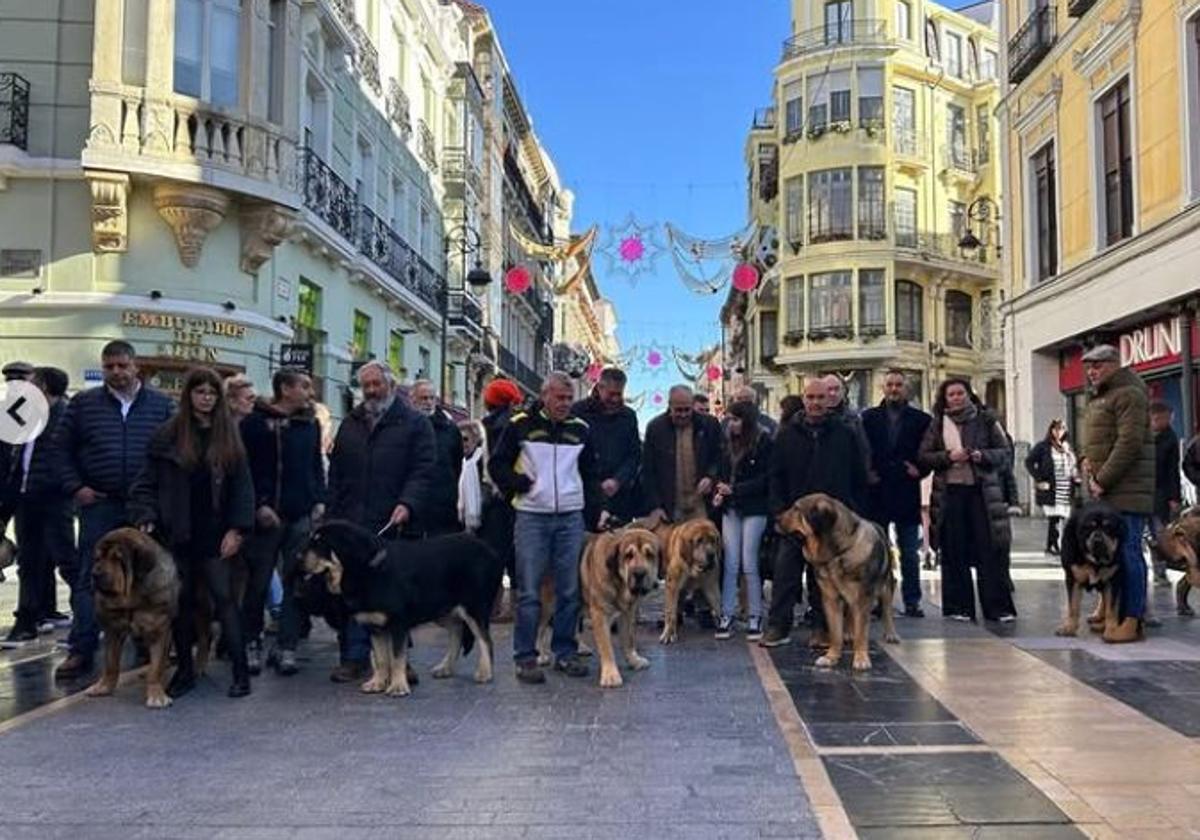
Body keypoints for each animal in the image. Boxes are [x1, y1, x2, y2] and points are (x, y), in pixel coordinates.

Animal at [84, 530, 178, 710]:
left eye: (118, 559)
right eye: (97, 558)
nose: (95, 574)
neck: (131, 599)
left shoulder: (159, 631)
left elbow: (156, 667)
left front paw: (156, 695)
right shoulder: (113, 630)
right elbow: (111, 662)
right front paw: (104, 686)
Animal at [304, 520, 506, 700]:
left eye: (320, 542)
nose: (298, 557)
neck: (368, 569)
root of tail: (491, 551)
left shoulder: (398, 624)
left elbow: (397, 658)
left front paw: (398, 687)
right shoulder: (375, 627)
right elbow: (381, 658)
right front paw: (377, 683)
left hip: (474, 608)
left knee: (485, 640)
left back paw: (485, 673)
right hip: (441, 610)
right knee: (457, 631)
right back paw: (446, 667)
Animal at [772, 492, 897, 667]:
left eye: (796, 508)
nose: (775, 518)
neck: (837, 552)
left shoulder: (863, 599)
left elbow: (861, 632)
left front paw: (861, 658)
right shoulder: (831, 599)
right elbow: (835, 632)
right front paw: (831, 656)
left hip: (885, 585)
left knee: (887, 609)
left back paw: (891, 634)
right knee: (850, 614)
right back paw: (849, 632)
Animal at [1056, 499, 1128, 638]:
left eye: (1108, 527)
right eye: (1088, 527)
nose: (1098, 539)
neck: (1094, 561)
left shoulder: (1113, 580)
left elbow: (1111, 608)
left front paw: (1111, 629)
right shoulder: (1072, 578)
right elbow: (1073, 606)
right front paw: (1069, 628)